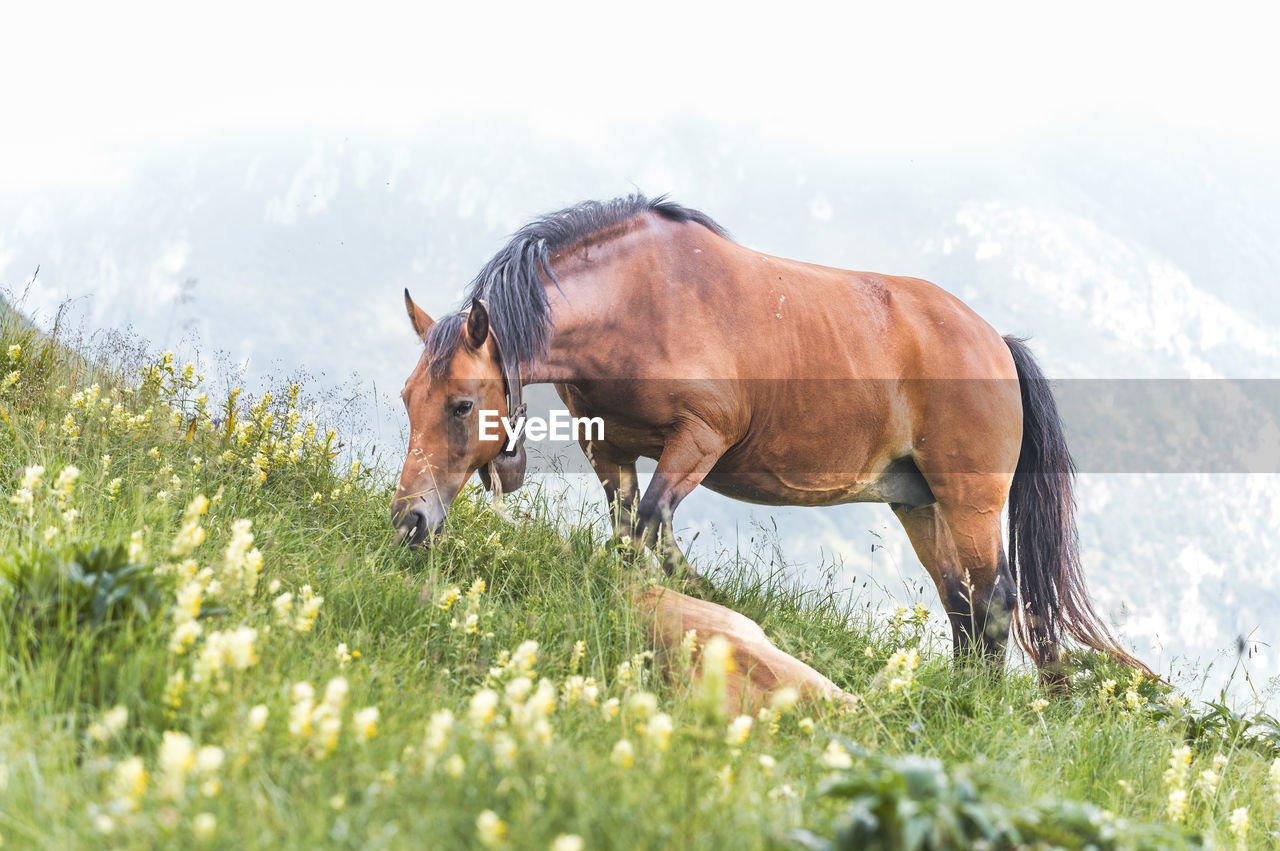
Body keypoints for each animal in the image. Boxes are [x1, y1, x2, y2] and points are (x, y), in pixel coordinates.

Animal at [391, 195, 1152, 675]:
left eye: (461, 404)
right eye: (407, 398)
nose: (409, 520)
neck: (643, 300)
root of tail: (997, 343)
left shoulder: (699, 440)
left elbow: (653, 527)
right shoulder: (610, 449)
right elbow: (632, 536)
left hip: (969, 499)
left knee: (993, 601)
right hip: (919, 503)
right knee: (962, 604)